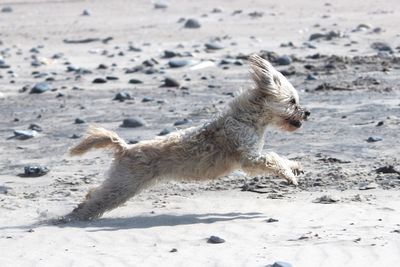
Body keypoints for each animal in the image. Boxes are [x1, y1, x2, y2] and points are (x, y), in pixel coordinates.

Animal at [64, 54, 310, 222]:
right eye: (292, 101)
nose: (308, 113)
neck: (245, 119)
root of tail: (125, 148)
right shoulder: (249, 158)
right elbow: (273, 158)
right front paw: (289, 175)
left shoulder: (253, 155)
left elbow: (279, 157)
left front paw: (295, 167)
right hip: (123, 185)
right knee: (97, 200)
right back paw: (70, 217)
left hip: (120, 183)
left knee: (94, 193)